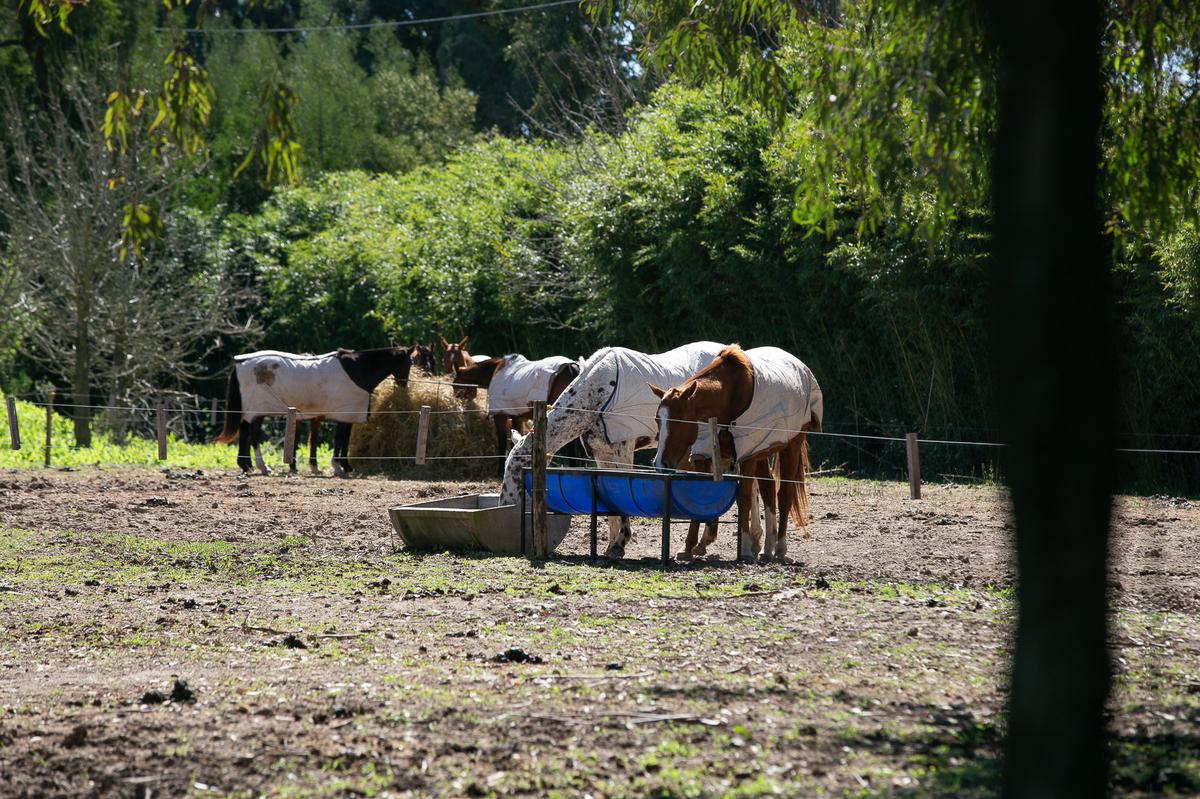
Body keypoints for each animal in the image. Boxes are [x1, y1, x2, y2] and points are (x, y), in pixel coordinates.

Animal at [496, 338, 729, 556]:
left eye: (520, 473)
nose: (505, 507)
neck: (598, 395)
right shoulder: (602, 454)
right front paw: (611, 545)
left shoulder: (622, 451)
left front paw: (620, 543)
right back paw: (699, 544)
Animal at [648, 345, 825, 563]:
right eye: (657, 419)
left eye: (680, 420)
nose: (660, 463)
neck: (728, 396)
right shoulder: (703, 456)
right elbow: (699, 495)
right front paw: (688, 546)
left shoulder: (747, 454)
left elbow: (745, 498)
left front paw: (746, 548)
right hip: (762, 451)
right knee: (768, 489)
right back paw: (767, 549)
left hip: (790, 445)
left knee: (784, 494)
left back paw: (780, 548)